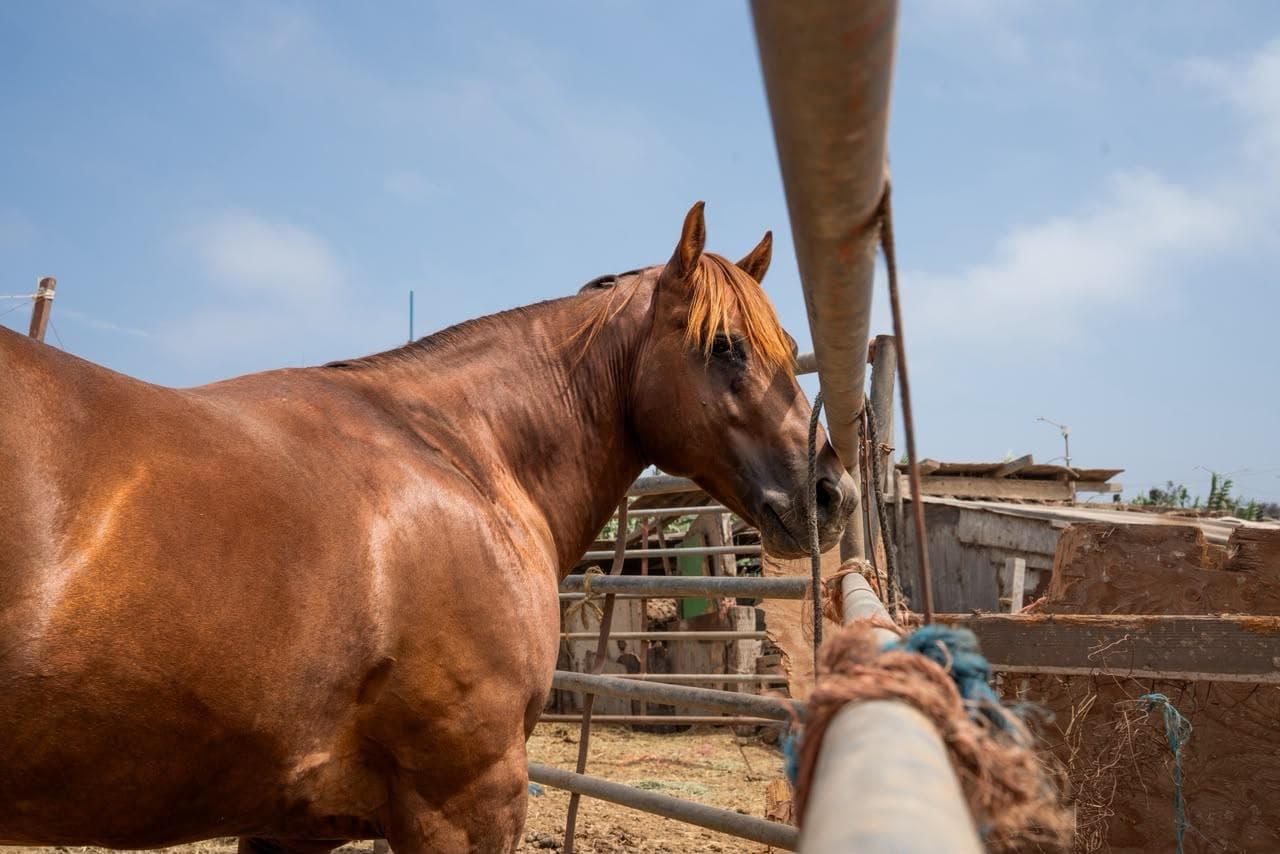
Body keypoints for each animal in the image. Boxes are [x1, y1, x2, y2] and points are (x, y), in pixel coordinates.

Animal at [0, 202, 857, 854]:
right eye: (726, 348)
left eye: (788, 350)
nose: (832, 493)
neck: (458, 456)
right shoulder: (467, 799)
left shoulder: (292, 825)